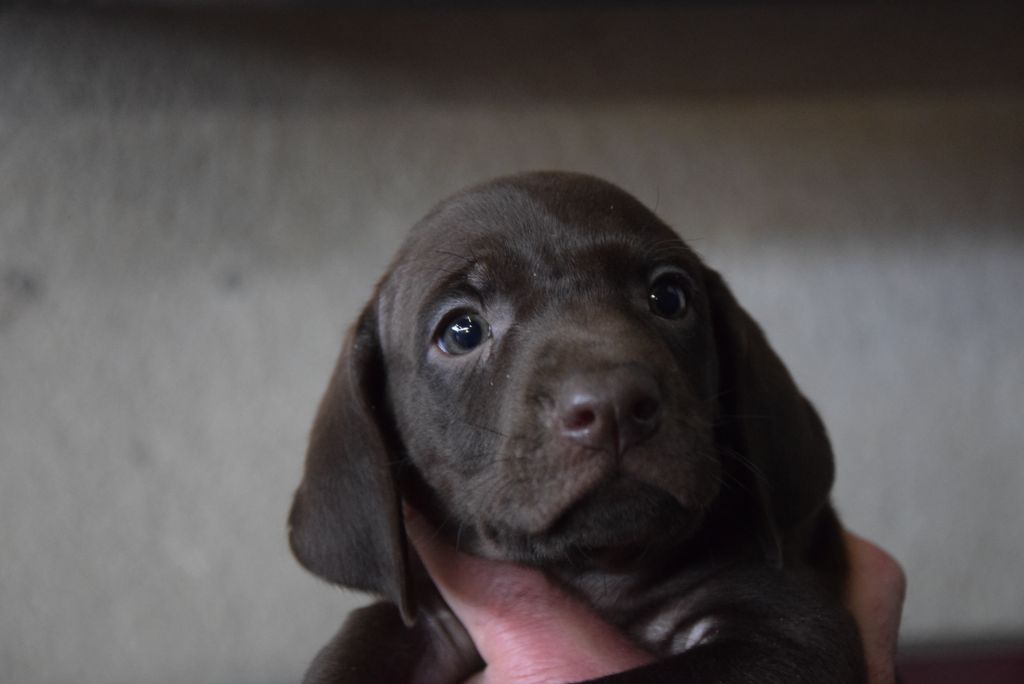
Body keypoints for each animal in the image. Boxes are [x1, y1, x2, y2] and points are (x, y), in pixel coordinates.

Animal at [286, 174, 864, 679]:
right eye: (462, 331)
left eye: (669, 297)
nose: (615, 405)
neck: (598, 573)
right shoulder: (424, 622)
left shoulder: (793, 629)